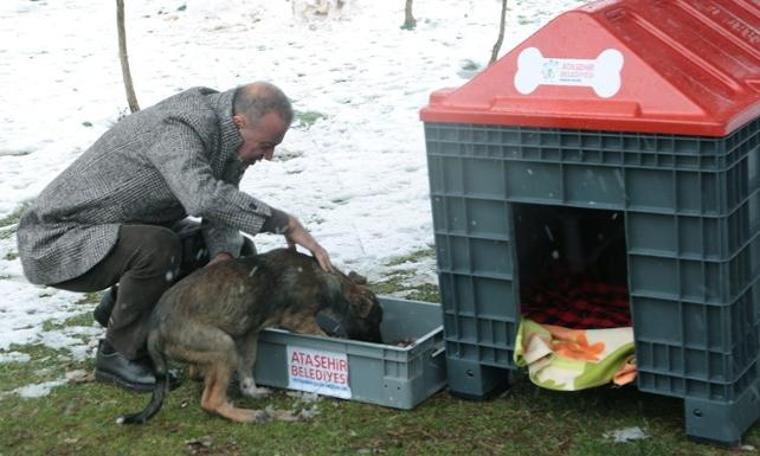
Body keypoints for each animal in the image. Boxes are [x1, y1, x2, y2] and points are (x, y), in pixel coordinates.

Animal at [116, 249, 382, 424]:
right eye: (374, 322)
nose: (379, 343)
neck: (329, 280)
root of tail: (154, 329)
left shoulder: (250, 333)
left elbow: (247, 366)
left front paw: (251, 391)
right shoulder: (299, 320)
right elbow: (326, 336)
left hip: (224, 344)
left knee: (201, 375)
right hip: (223, 346)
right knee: (211, 402)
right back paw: (250, 415)